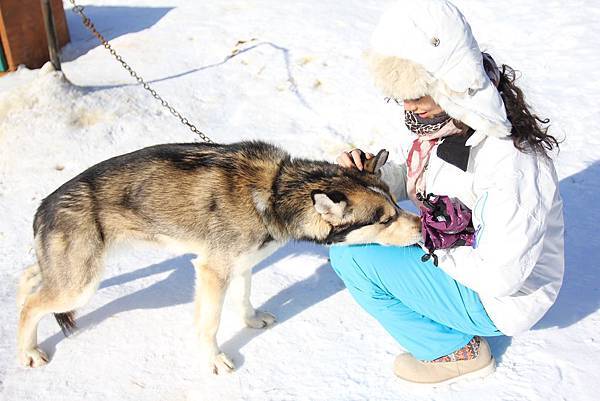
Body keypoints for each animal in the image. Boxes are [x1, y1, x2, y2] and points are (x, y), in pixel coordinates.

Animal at [16, 141, 420, 372]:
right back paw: (28, 351)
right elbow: (209, 324)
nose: (422, 227)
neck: (274, 190)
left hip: (69, 275)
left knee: (28, 277)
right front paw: (213, 360)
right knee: (32, 305)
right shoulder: (214, 270)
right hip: (79, 285)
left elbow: (243, 299)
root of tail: (43, 207)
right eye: (385, 219)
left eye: (395, 204)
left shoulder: (240, 264)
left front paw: (251, 320)